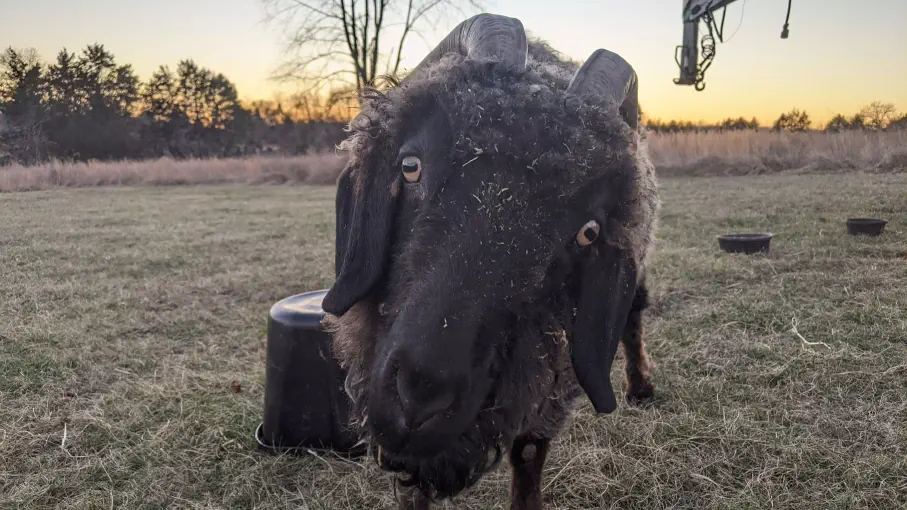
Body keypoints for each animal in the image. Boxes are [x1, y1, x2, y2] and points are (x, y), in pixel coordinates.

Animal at [320, 13, 659, 510]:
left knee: (635, 310)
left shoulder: (549, 387)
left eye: (588, 232)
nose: (420, 395)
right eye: (410, 166)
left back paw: (640, 386)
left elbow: (529, 460)